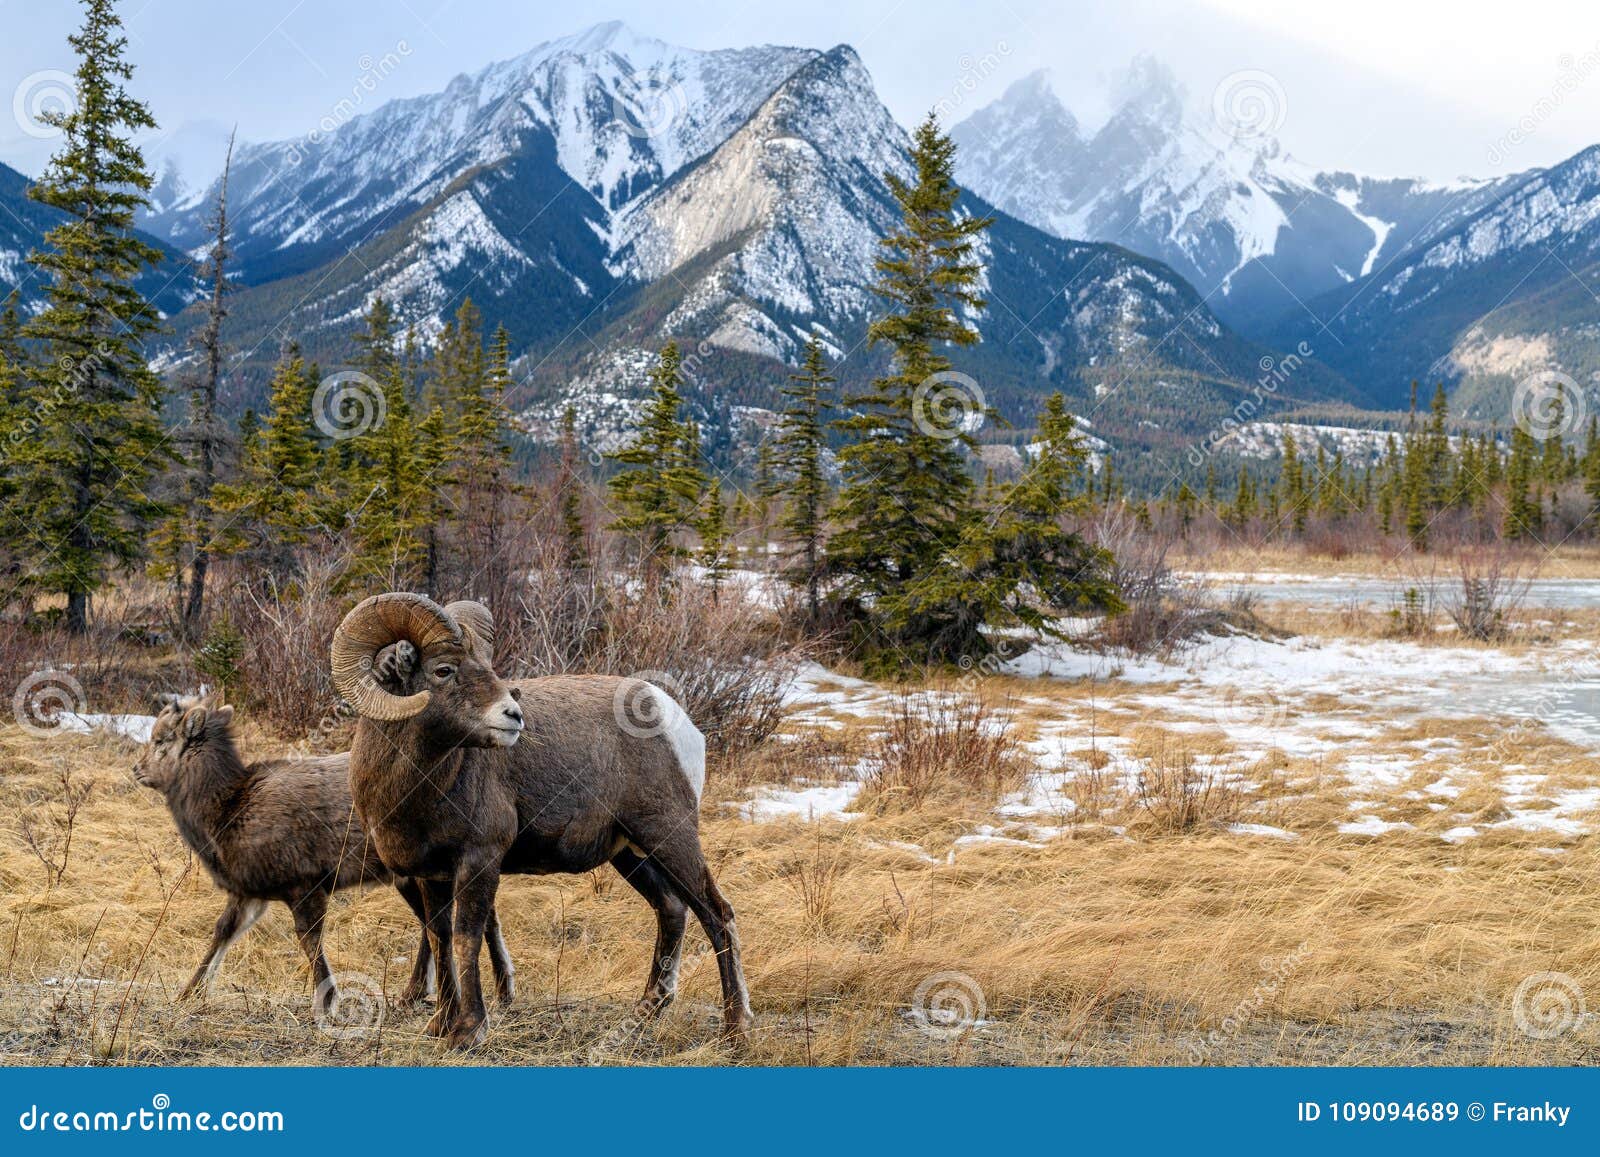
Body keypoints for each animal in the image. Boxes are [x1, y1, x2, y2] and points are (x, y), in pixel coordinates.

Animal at [136, 697, 518, 1011]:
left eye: (161, 740)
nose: (137, 769)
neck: (226, 814)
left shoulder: (303, 883)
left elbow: (309, 940)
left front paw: (329, 999)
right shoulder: (248, 893)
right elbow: (221, 932)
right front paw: (189, 991)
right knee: (461, 919)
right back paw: (475, 991)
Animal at [337, 598, 748, 1049]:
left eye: (487, 665)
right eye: (443, 669)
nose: (513, 716)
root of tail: (674, 718)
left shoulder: (479, 861)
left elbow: (466, 937)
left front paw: (468, 1031)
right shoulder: (431, 875)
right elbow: (439, 937)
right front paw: (440, 1025)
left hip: (669, 837)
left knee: (717, 914)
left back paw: (735, 1029)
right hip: (630, 854)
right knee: (672, 909)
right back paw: (645, 1012)